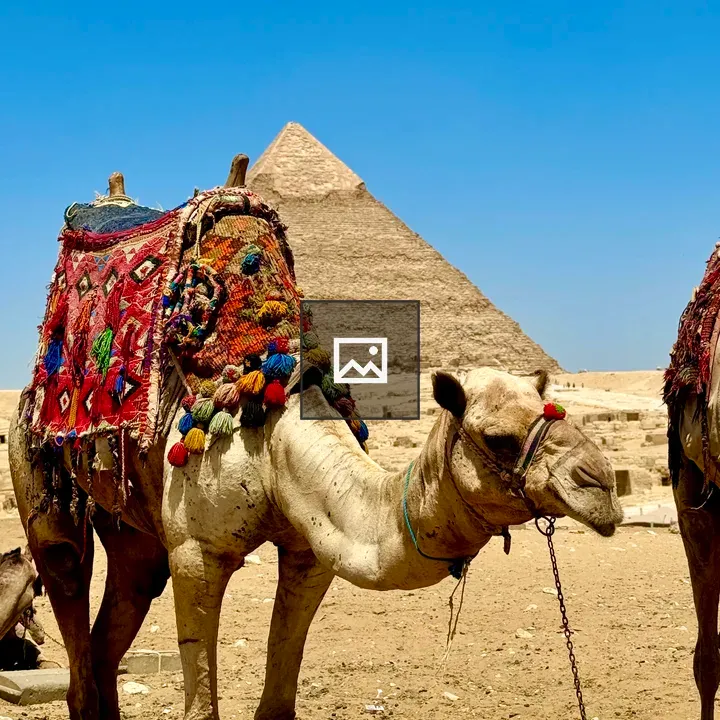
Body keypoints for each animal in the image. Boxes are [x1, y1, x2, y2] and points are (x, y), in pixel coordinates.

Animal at [9, 362, 623, 720]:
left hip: (134, 536)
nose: (602, 484)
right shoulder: (196, 552)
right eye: (498, 438)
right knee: (67, 583)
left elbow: (281, 697)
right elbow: (201, 703)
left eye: (560, 414)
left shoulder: (309, 552)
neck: (273, 445)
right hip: (43, 493)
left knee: (115, 622)